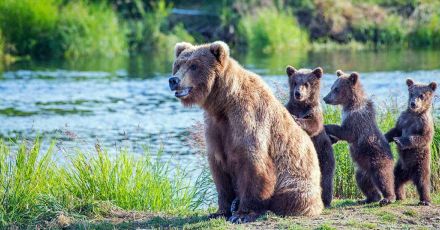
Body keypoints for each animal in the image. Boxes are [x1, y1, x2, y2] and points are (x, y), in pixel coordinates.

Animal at [168, 41, 324, 223]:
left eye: (194, 65)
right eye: (178, 65)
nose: (174, 80)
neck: (222, 103)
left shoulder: (248, 118)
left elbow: (253, 163)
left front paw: (242, 214)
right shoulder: (215, 127)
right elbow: (218, 169)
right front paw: (220, 211)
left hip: (297, 179)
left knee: (291, 195)